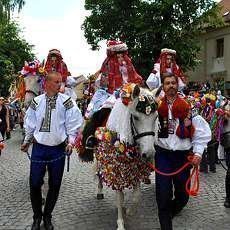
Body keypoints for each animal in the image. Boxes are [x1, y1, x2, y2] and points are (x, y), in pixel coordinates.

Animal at [94, 85, 158, 230]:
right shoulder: (115, 169)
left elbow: (136, 196)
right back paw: (100, 191)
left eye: (155, 117)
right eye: (136, 117)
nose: (149, 153)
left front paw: (129, 211)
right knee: (99, 173)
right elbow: (119, 197)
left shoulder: (136, 169)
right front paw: (120, 223)